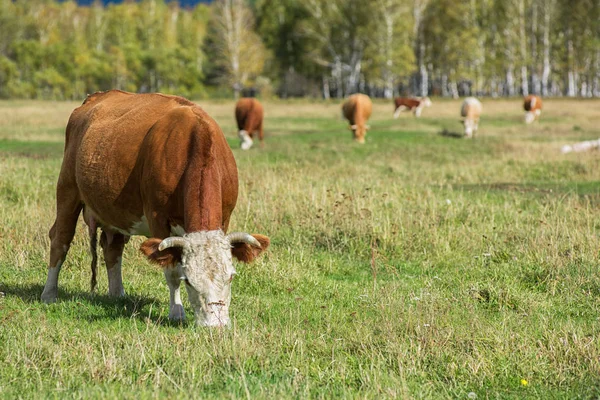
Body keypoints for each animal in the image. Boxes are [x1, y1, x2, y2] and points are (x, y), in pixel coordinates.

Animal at [44, 90, 272, 328]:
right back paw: (49, 294)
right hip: (67, 189)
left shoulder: (224, 218)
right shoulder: (158, 219)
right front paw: (176, 311)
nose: (215, 325)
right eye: (189, 281)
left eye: (231, 277)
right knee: (60, 239)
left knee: (112, 248)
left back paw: (117, 294)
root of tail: (95, 97)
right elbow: (171, 272)